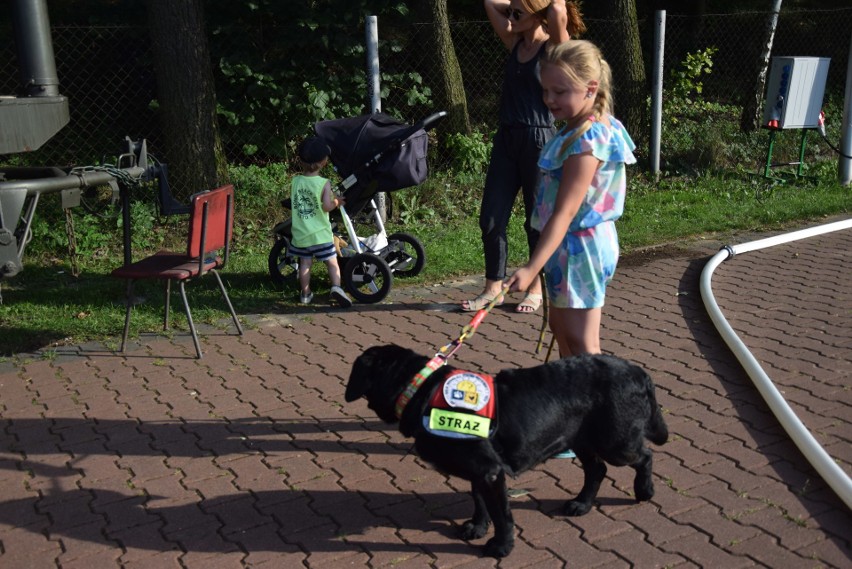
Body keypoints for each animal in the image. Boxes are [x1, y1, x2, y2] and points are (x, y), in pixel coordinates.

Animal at [342, 344, 668, 556]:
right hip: (580, 438)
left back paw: (645, 490)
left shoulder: (489, 471)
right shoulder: (481, 469)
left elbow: (502, 515)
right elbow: (478, 500)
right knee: (597, 469)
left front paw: (501, 546)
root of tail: (639, 372)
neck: (422, 390)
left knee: (644, 456)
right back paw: (581, 504)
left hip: (615, 441)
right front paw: (477, 526)